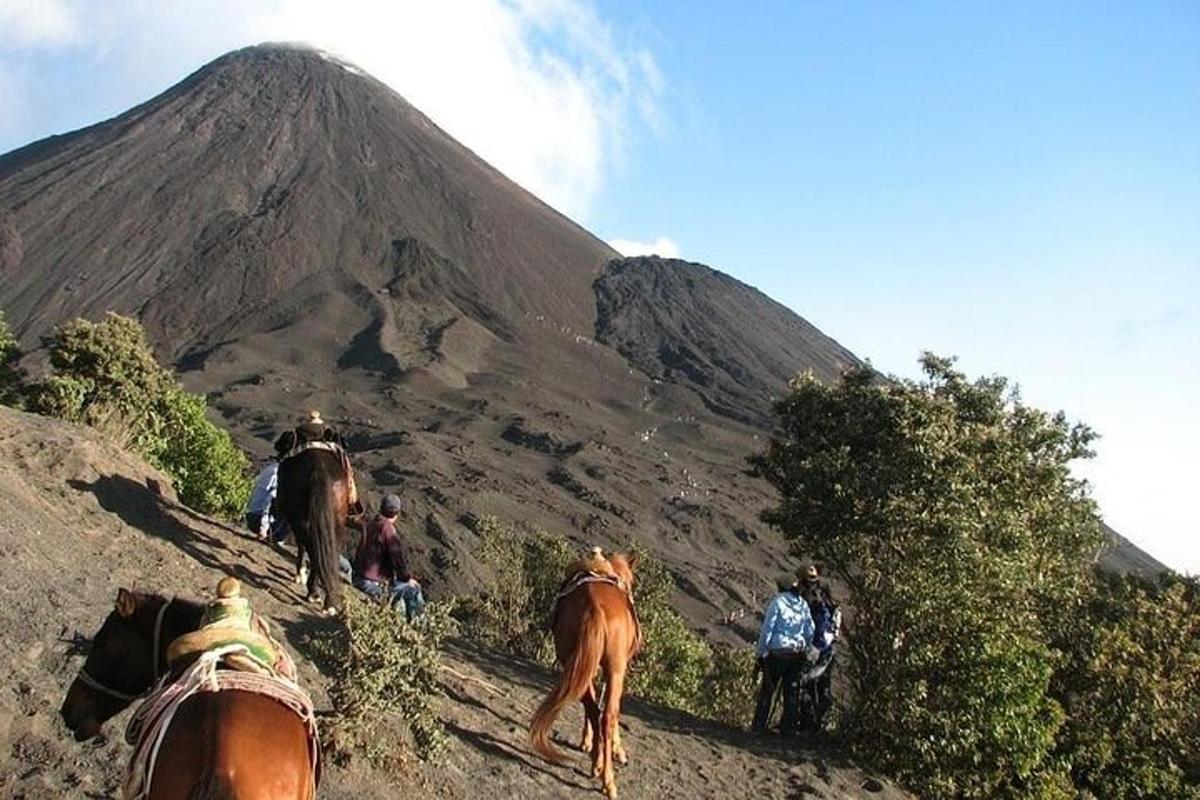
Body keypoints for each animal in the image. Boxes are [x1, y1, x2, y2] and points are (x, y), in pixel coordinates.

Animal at [528, 554, 638, 796]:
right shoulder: (618, 669)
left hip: (575, 660)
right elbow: (613, 710)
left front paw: (587, 743)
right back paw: (608, 780)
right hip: (615, 668)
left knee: (592, 707)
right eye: (632, 582)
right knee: (606, 715)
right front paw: (617, 750)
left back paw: (597, 763)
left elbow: (592, 704)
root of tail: (594, 607)